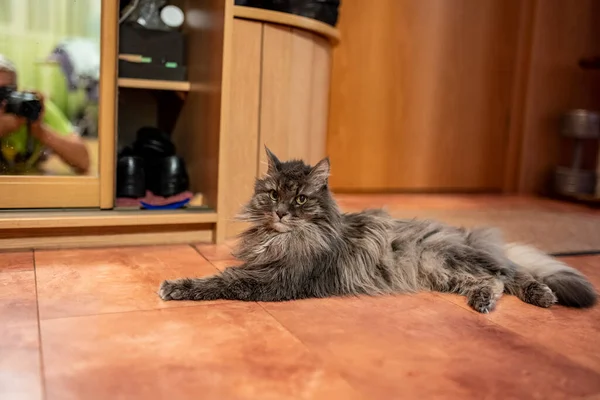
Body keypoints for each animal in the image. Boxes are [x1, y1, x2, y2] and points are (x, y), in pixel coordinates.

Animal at [158, 148, 596, 312]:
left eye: (300, 199)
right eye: (273, 194)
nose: (281, 213)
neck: (284, 238)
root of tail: (462, 232)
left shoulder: (275, 280)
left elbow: (220, 281)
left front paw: (176, 287)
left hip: (456, 260)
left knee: (513, 274)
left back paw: (542, 295)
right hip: (446, 273)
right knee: (494, 282)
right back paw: (484, 302)